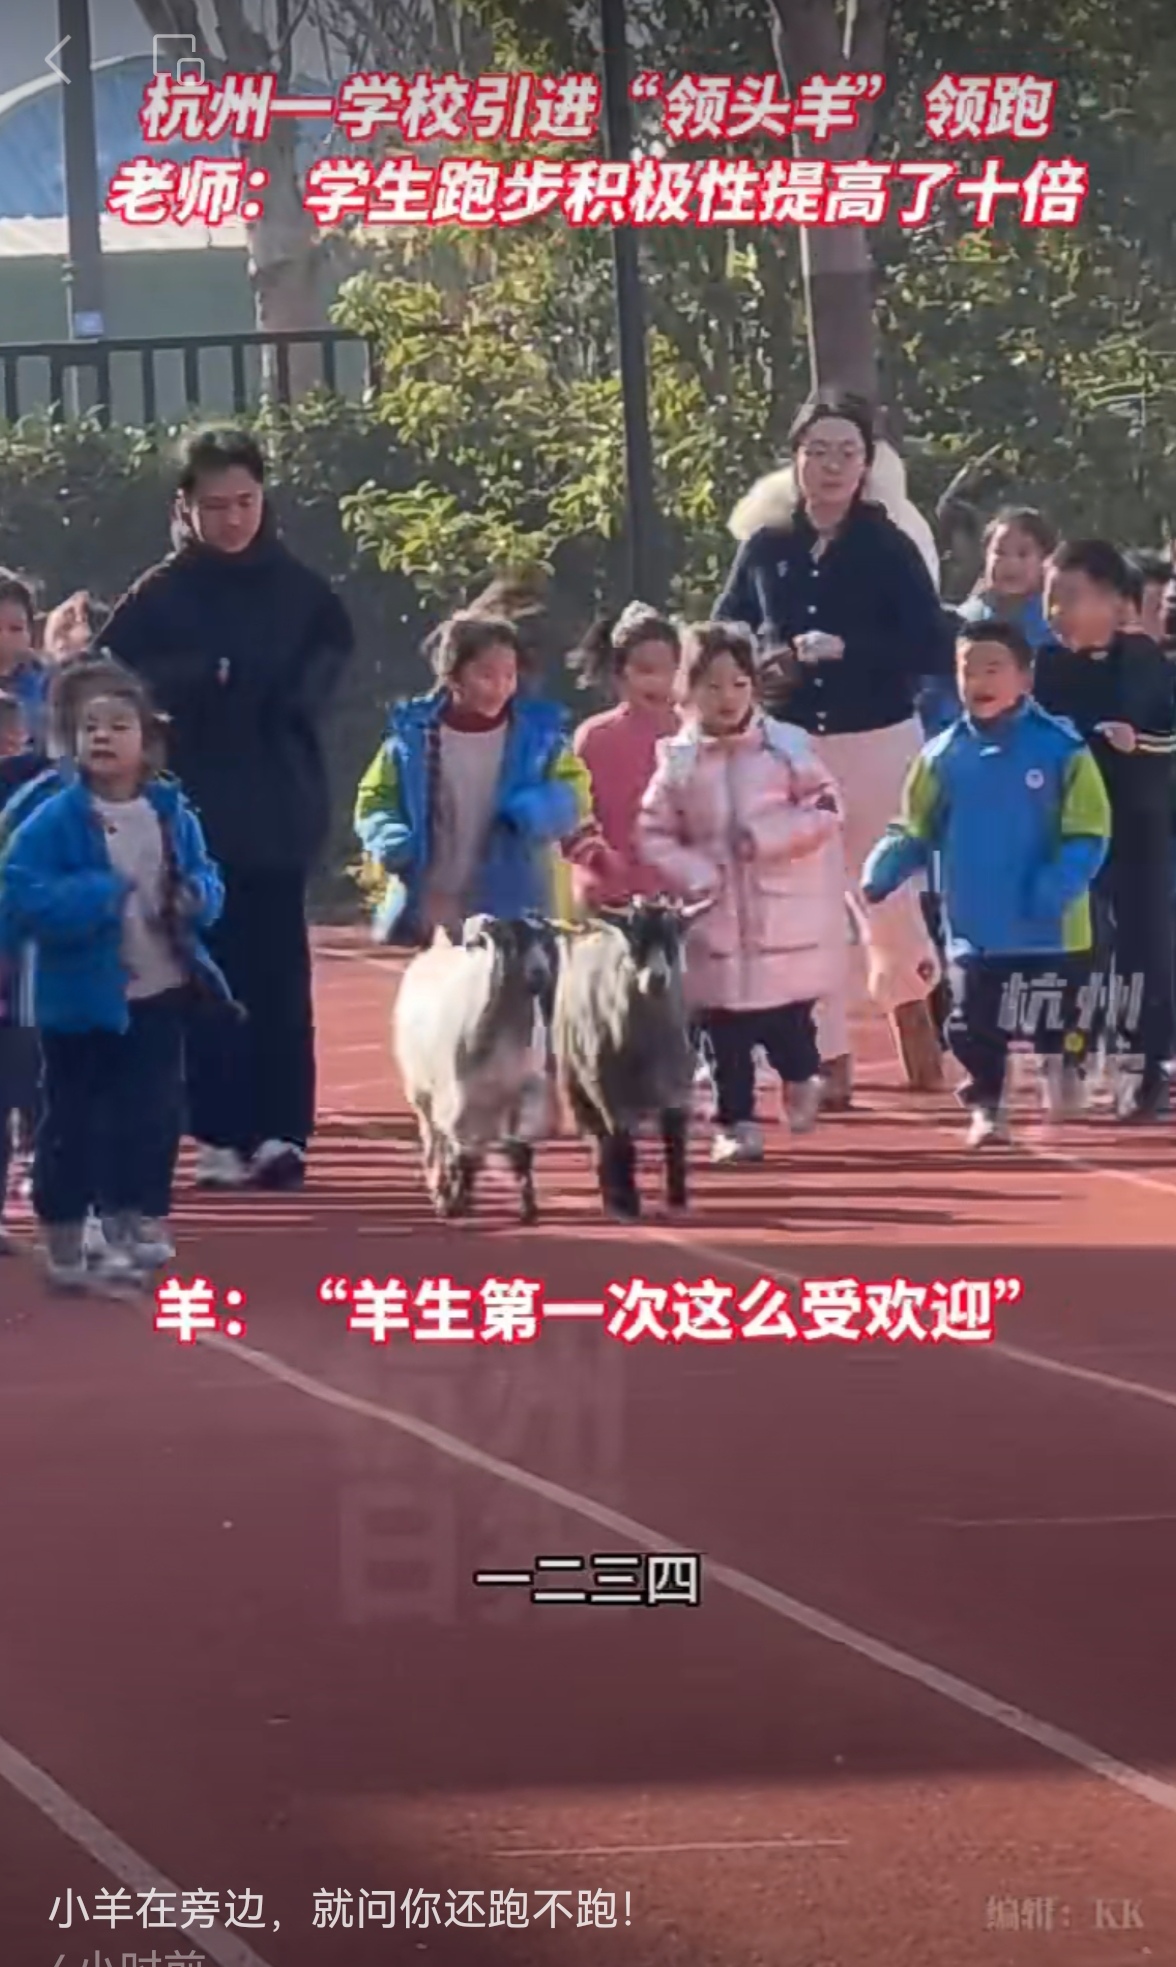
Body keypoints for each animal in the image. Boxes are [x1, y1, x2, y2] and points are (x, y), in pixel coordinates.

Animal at [392, 913, 560, 1223]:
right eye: (511, 940)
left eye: (546, 941)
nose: (539, 976)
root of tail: (439, 947)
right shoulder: (459, 1095)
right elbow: (463, 1154)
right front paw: (453, 1202)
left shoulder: (523, 1091)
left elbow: (520, 1150)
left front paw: (528, 1207)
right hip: (421, 1089)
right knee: (435, 1139)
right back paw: (440, 1187)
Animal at [552, 897, 711, 1220]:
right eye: (634, 939)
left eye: (674, 938)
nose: (657, 978)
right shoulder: (606, 1088)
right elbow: (619, 1138)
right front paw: (625, 1201)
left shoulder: (678, 1085)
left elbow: (675, 1136)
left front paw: (677, 1198)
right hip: (575, 1083)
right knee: (599, 1138)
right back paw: (613, 1196)